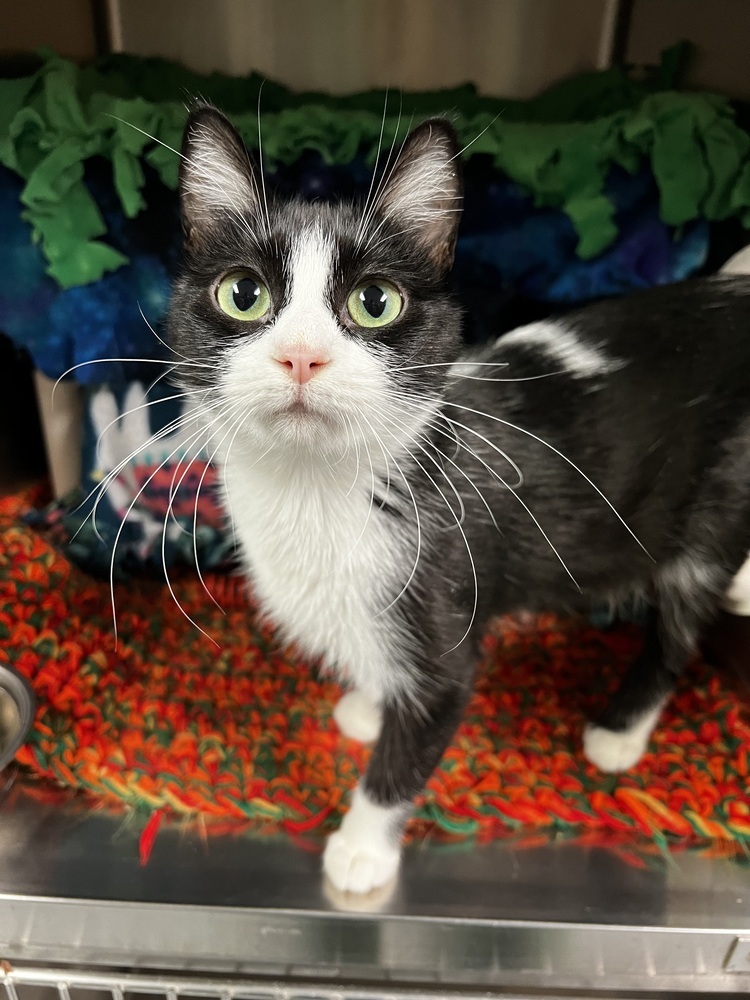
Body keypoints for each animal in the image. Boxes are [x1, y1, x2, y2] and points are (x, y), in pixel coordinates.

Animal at [167, 105, 750, 896]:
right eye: (242, 293)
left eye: (374, 303)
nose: (302, 357)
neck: (315, 487)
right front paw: (369, 700)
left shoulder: (443, 598)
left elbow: (419, 733)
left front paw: (361, 850)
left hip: (719, 491)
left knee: (682, 623)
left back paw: (620, 731)